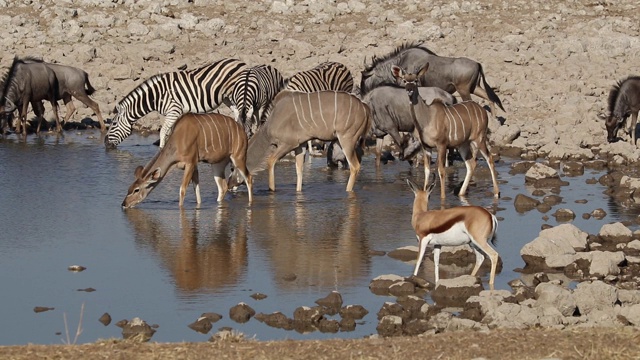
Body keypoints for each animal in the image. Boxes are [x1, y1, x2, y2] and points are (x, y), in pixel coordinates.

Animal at [104, 57, 246, 148]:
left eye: (114, 123)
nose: (105, 143)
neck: (156, 96)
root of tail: (240, 61)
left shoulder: (173, 111)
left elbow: (163, 132)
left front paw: (161, 151)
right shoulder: (174, 114)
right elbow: (170, 133)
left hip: (236, 93)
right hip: (227, 98)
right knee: (237, 113)